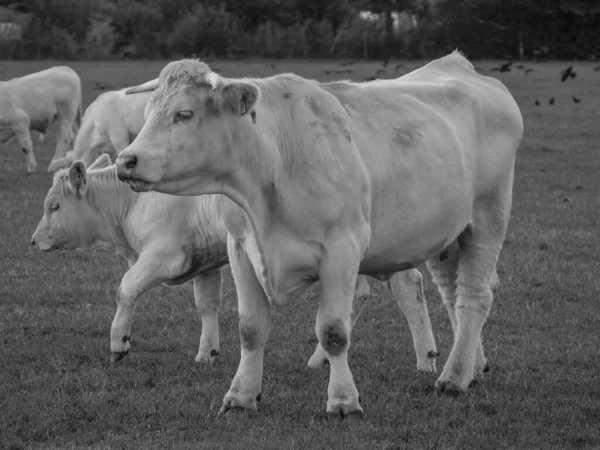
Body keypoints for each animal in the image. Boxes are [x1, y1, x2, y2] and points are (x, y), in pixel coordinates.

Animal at [30, 156, 438, 370]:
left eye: (54, 206)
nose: (33, 241)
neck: (135, 202)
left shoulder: (163, 255)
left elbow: (125, 289)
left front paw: (119, 342)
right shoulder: (205, 263)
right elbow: (207, 306)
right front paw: (207, 351)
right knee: (402, 290)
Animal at [115, 51, 524, 416]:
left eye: (184, 114)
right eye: (148, 113)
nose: (126, 160)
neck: (274, 163)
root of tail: (462, 66)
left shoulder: (341, 251)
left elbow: (333, 331)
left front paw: (343, 401)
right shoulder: (241, 250)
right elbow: (250, 328)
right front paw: (241, 395)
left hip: (488, 217)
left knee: (474, 297)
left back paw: (454, 378)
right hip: (445, 236)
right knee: (453, 295)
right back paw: (472, 367)